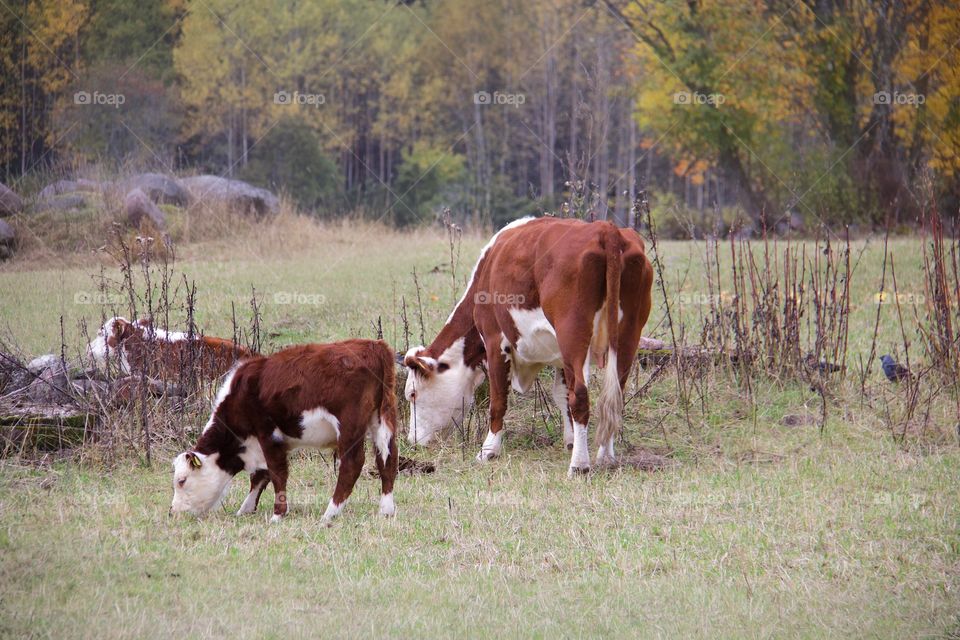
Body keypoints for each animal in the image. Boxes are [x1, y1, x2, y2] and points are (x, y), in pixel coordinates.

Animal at [171, 338, 400, 524]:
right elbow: (260, 476)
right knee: (387, 458)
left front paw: (277, 514)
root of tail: (374, 346)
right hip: (382, 419)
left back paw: (330, 513)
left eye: (182, 480)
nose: (173, 511)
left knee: (352, 464)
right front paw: (246, 509)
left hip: (349, 426)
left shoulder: (267, 434)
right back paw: (386, 510)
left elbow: (276, 472)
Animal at [402, 218, 656, 472]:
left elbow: (498, 399)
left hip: (573, 335)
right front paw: (570, 441)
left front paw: (488, 451)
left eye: (413, 394)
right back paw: (606, 456)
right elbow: (562, 395)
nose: (412, 441)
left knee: (581, 396)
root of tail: (606, 229)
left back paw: (579, 465)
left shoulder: (495, 340)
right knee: (613, 397)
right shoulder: (560, 357)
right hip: (627, 335)